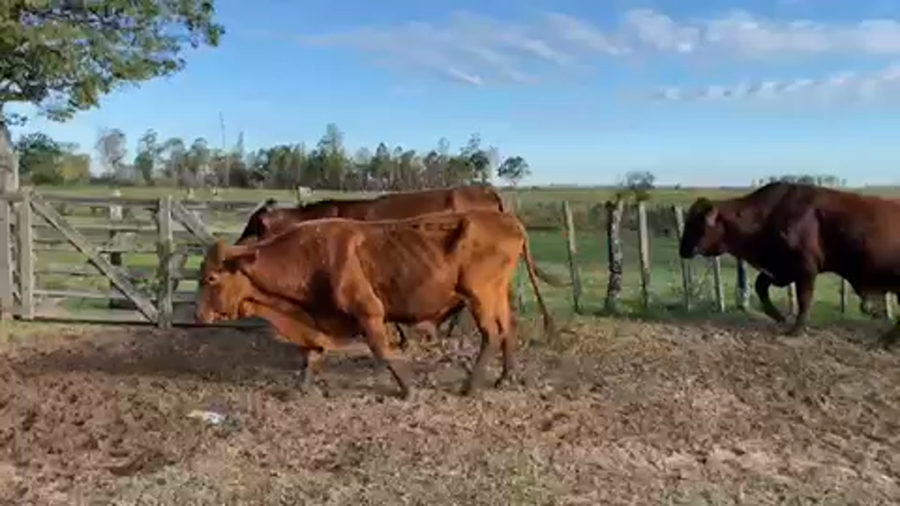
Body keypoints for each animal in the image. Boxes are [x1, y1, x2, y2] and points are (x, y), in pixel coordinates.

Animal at [194, 209, 562, 399]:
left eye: (210, 278)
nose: (198, 314)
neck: (311, 255)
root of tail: (509, 220)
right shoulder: (318, 321)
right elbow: (311, 355)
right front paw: (300, 388)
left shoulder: (369, 312)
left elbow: (383, 353)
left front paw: (408, 389)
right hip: (496, 295)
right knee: (508, 329)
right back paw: (506, 377)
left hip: (479, 296)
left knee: (491, 335)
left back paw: (470, 386)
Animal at [678, 181, 900, 348]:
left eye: (695, 224)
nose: (682, 250)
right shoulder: (781, 269)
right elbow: (761, 285)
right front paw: (779, 317)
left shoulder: (805, 269)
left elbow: (804, 299)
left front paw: (796, 330)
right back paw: (886, 340)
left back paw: (885, 341)